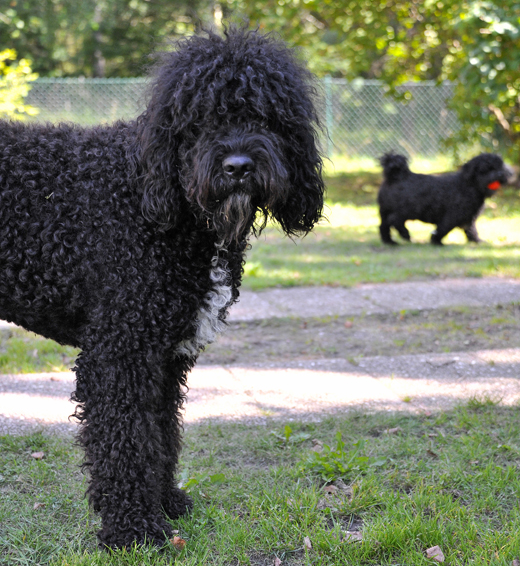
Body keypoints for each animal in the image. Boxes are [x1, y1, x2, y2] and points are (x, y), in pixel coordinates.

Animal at [378, 153, 512, 246]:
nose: (500, 174)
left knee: (383, 226)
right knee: (394, 220)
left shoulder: (469, 217)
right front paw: (436, 241)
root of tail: (396, 177)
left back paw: (389, 242)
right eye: (485, 169)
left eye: (500, 167)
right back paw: (405, 234)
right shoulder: (452, 216)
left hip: (385, 211)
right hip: (408, 210)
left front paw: (477, 241)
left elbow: (471, 230)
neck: (468, 185)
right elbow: (443, 228)